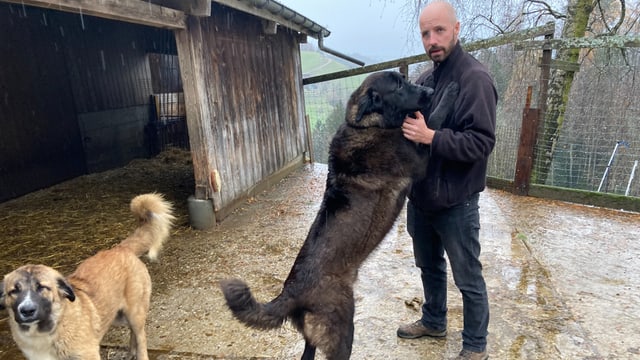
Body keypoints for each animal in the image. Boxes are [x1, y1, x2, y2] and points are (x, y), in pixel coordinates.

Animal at [0, 194, 175, 360]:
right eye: (13, 291)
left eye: (42, 287)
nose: (27, 310)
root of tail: (120, 248)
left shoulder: (88, 354)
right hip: (116, 314)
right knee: (133, 333)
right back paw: (131, 352)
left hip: (134, 313)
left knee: (141, 336)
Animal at [222, 71, 458, 360]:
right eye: (399, 86)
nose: (430, 90)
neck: (367, 126)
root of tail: (291, 292)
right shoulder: (420, 158)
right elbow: (434, 121)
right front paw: (450, 92)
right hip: (343, 329)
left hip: (313, 337)